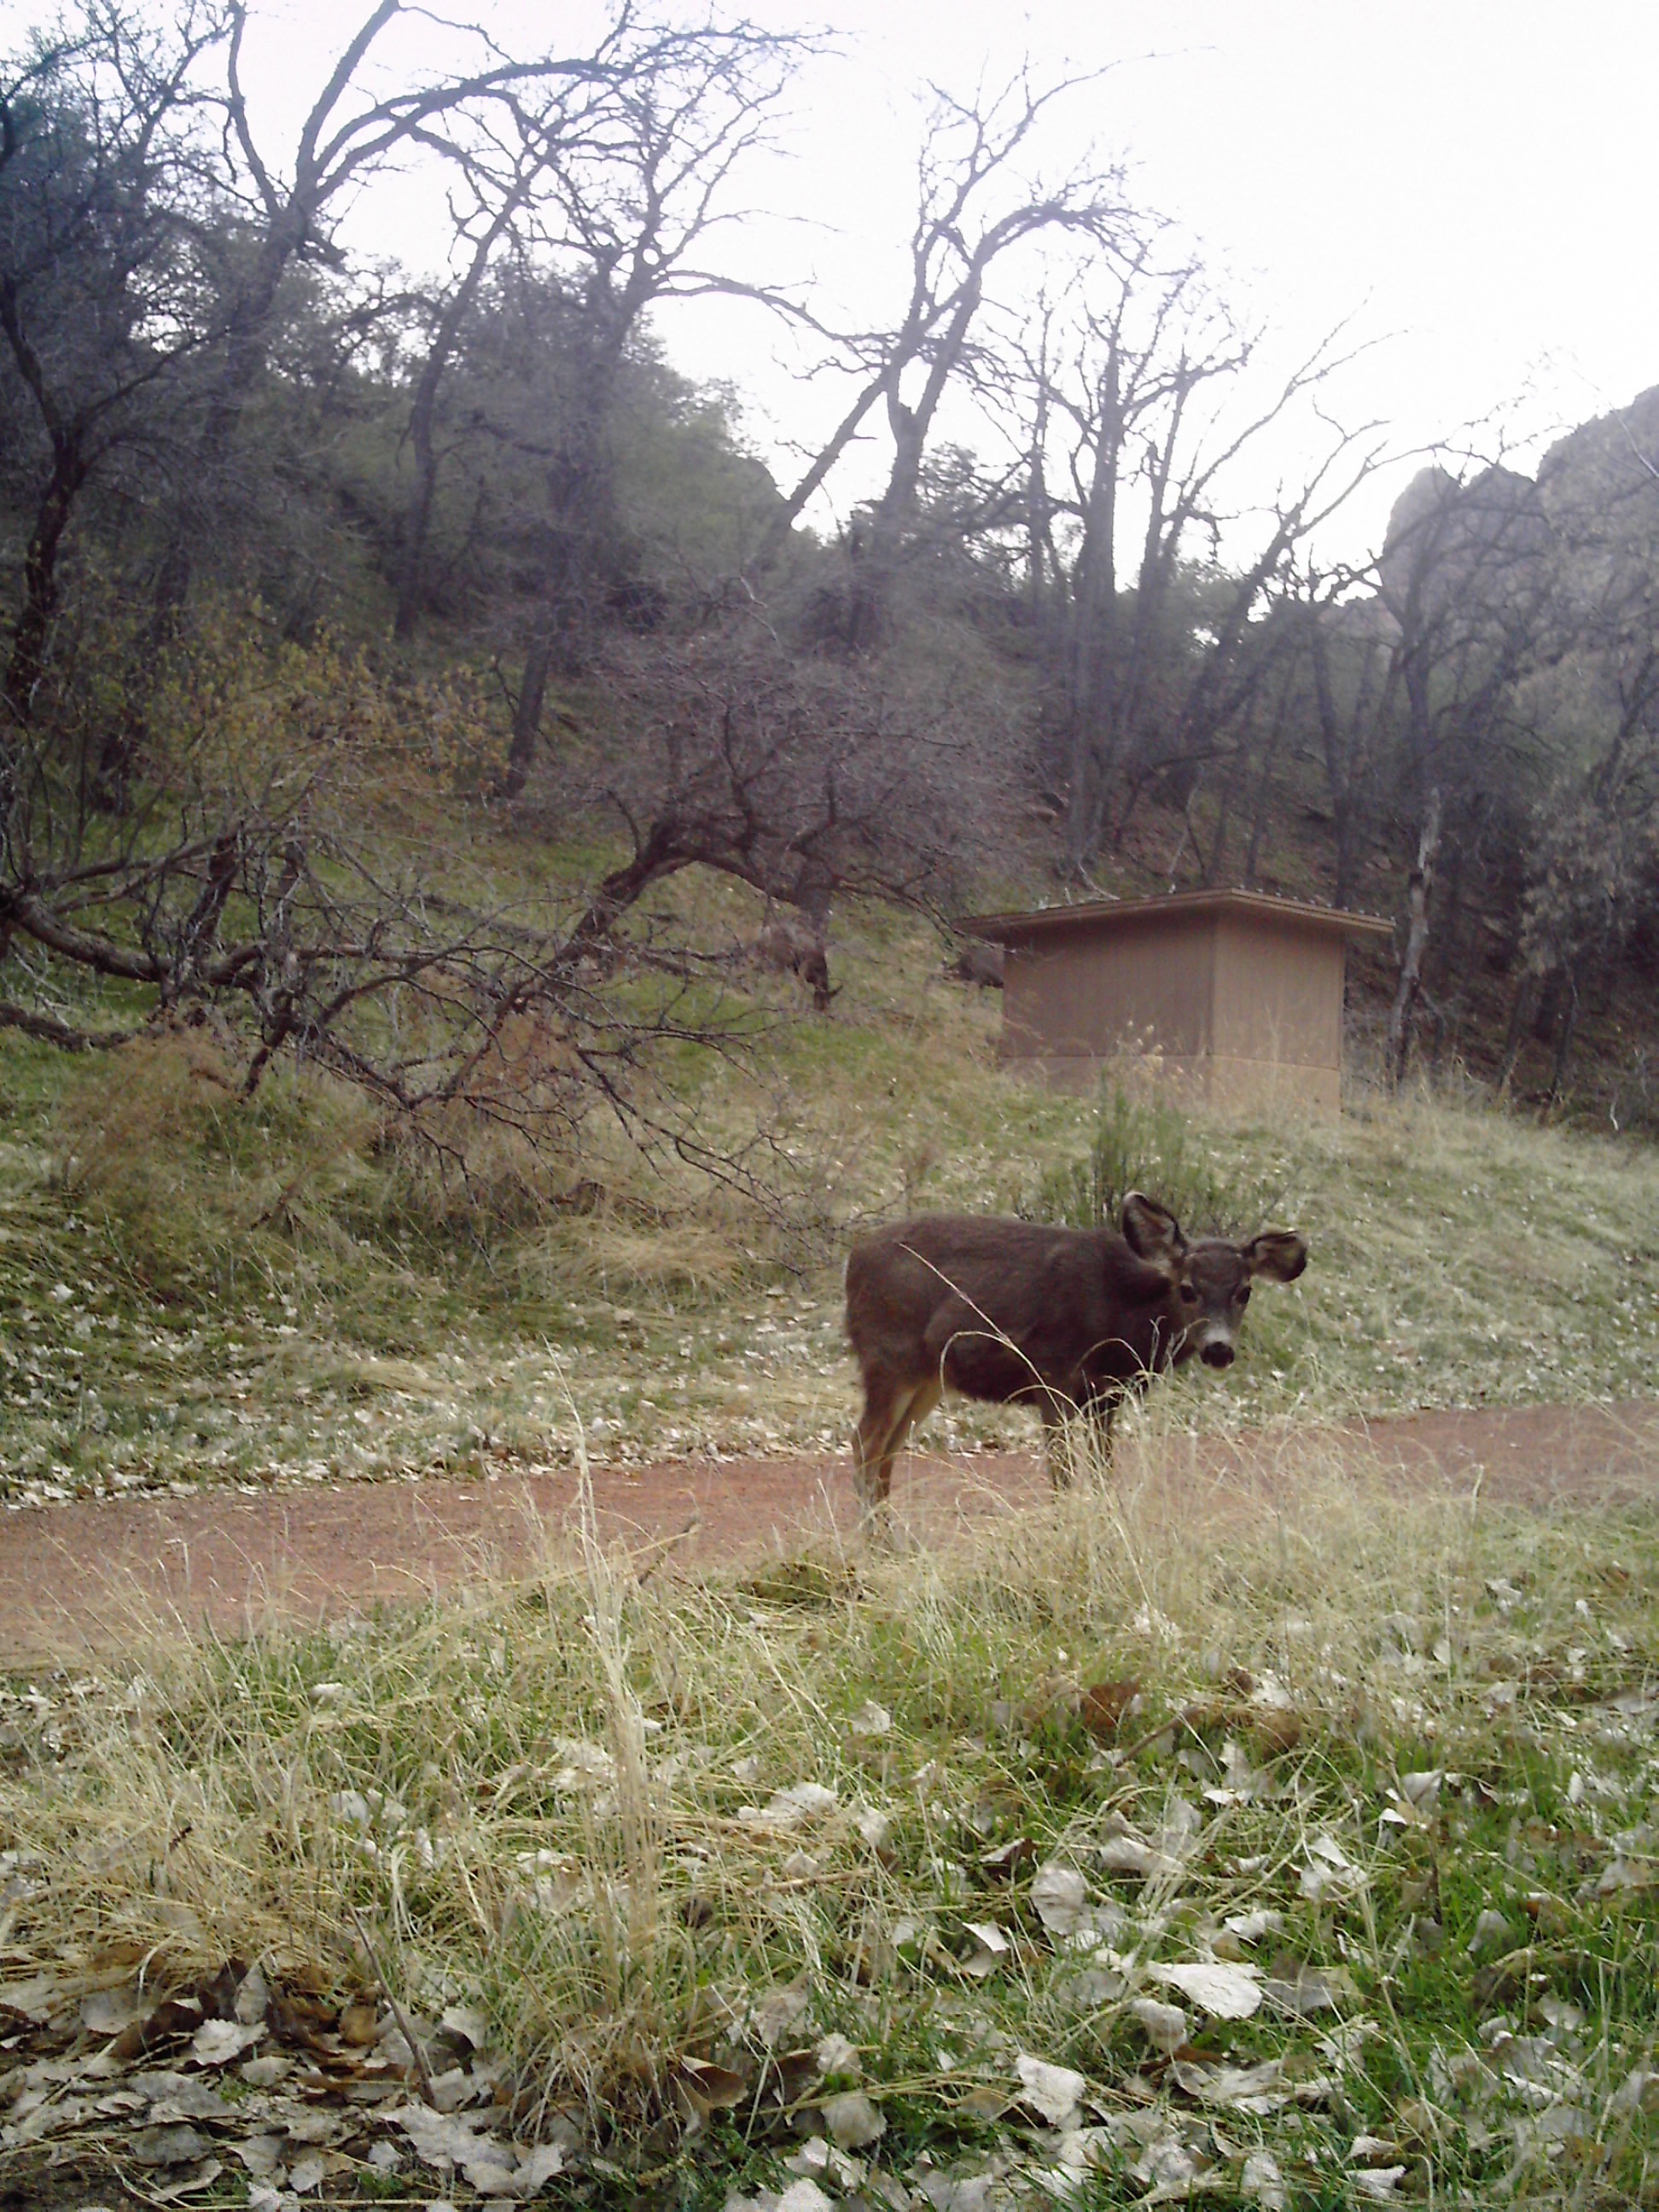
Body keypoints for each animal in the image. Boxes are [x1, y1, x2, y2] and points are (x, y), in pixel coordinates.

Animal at [844, 1193, 1306, 1514]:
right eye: (1188, 1289)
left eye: (1244, 1291)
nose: (1219, 1349)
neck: (1119, 1315)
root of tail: (852, 1262)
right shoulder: (1052, 1374)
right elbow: (1063, 1474)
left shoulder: (1106, 1395)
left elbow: (1102, 1472)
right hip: (889, 1357)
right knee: (866, 1443)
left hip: (928, 1379)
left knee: (887, 1452)